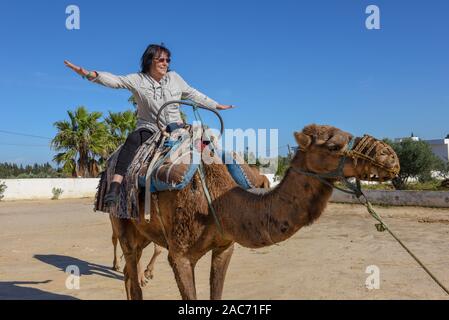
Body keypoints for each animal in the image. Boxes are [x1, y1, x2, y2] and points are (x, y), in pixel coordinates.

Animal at [109, 124, 400, 300]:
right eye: (333, 146)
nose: (390, 158)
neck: (217, 201)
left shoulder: (224, 247)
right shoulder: (180, 255)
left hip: (144, 233)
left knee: (130, 274)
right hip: (121, 223)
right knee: (131, 272)